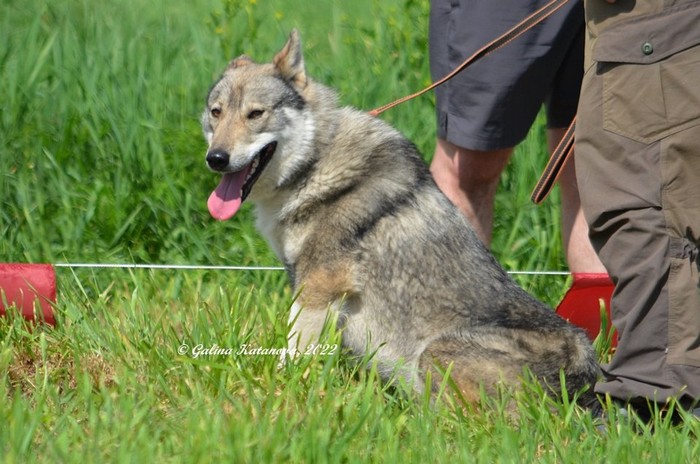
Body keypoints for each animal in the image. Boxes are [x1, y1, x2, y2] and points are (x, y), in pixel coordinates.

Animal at [202, 30, 600, 408]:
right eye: (216, 113)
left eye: (255, 114)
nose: (216, 158)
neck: (315, 163)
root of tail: (588, 382)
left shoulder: (318, 287)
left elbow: (294, 355)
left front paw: (283, 394)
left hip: (434, 354)